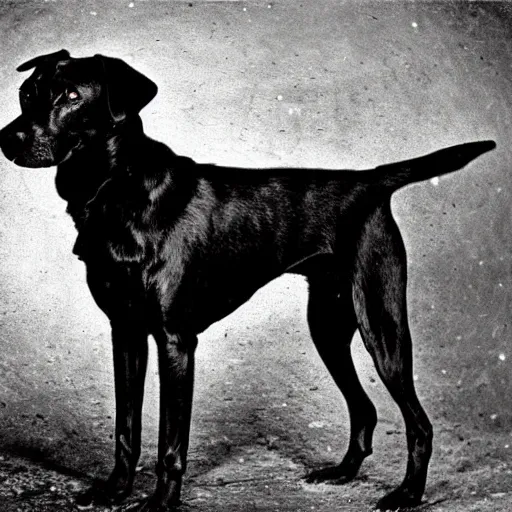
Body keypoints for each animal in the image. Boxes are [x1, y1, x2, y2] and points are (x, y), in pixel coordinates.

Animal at [0, 49, 496, 512]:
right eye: (28, 93)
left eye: (71, 96)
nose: (10, 138)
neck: (115, 190)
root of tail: (367, 182)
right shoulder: (125, 333)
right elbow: (126, 428)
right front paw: (114, 490)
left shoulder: (175, 340)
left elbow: (169, 442)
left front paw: (161, 502)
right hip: (329, 327)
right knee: (365, 410)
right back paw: (342, 472)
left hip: (382, 329)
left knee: (418, 423)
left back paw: (408, 493)